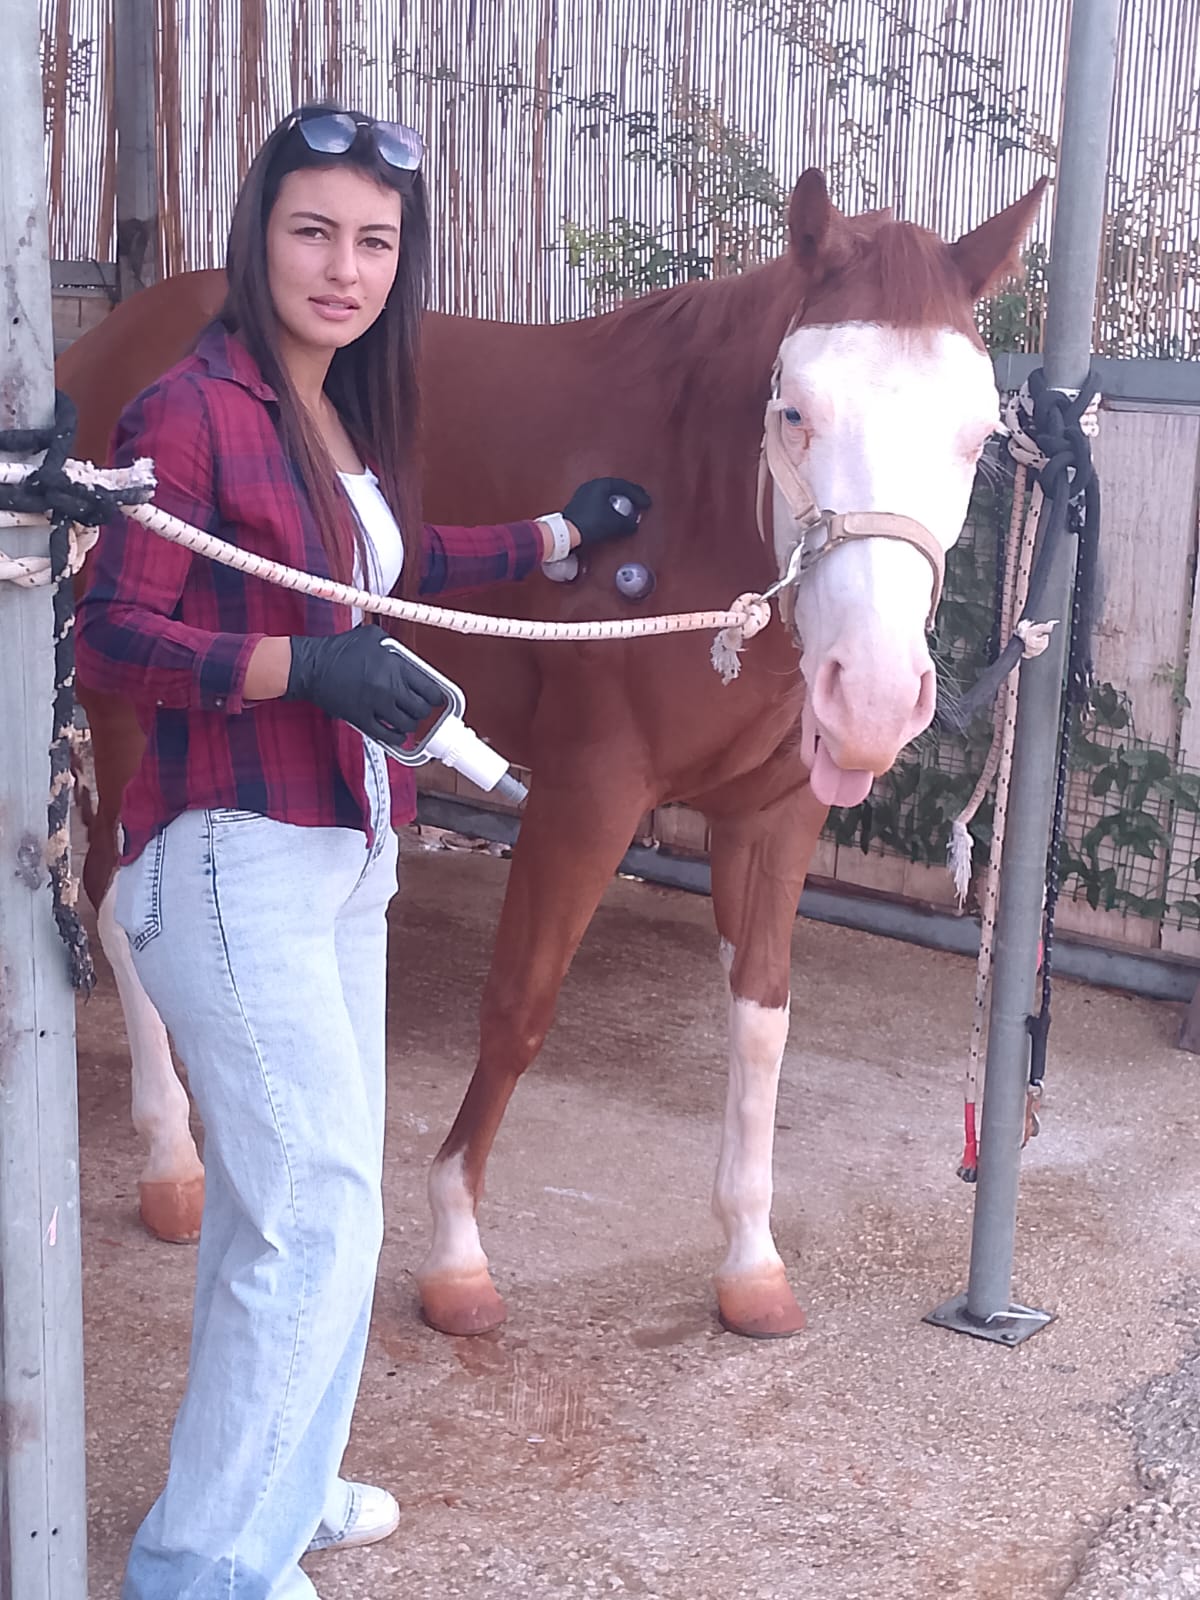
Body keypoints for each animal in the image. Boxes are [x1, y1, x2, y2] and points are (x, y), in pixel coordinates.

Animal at [59, 168, 1046, 1338]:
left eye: (976, 436)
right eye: (797, 412)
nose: (877, 697)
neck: (695, 507)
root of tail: (108, 344)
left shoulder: (776, 816)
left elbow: (761, 1024)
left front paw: (751, 1261)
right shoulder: (589, 793)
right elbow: (521, 1004)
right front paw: (455, 1252)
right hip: (133, 707)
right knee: (116, 894)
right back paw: (171, 1156)